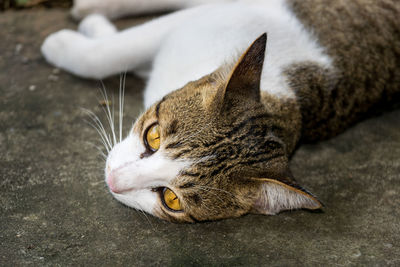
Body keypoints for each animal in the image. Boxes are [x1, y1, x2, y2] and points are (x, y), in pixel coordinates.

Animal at [41, 0, 400, 223]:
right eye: (152, 137)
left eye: (171, 199)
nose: (113, 181)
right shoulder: (204, 22)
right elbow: (116, 51)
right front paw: (80, 36)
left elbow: (111, 54)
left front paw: (72, 40)